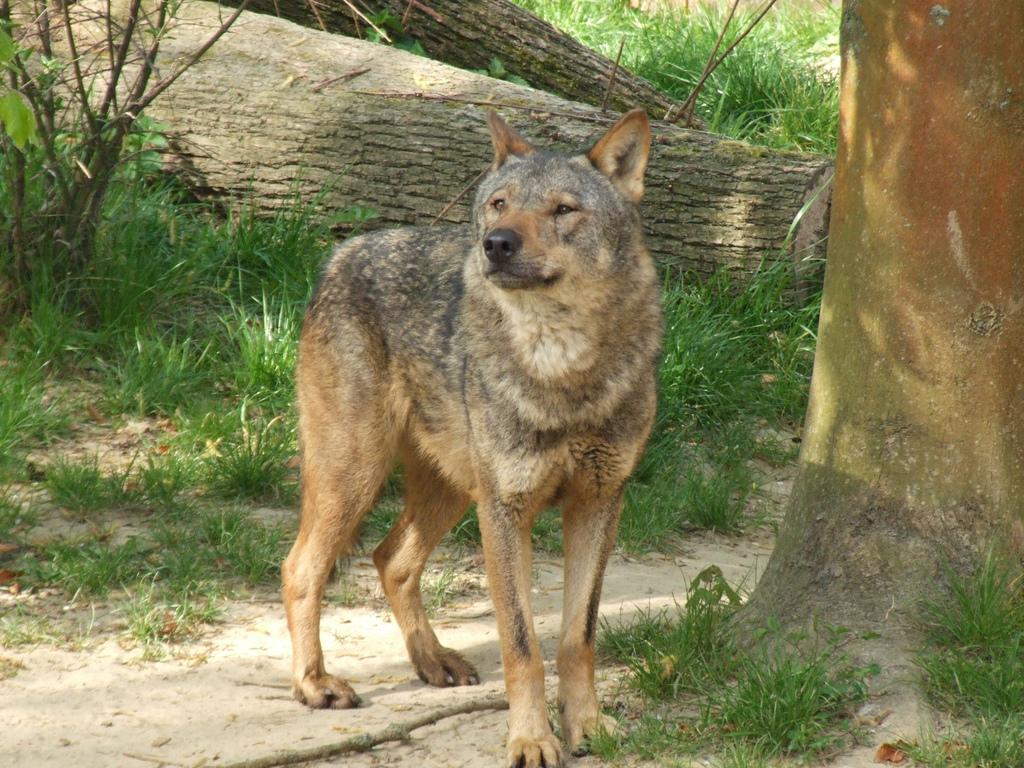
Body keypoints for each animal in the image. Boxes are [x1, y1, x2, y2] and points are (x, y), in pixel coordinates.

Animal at [282, 108, 662, 767]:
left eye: (564, 210)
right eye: (499, 204)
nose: (497, 244)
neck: (562, 370)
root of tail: (344, 250)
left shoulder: (599, 503)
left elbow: (576, 638)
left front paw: (588, 725)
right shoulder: (506, 511)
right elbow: (522, 645)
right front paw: (531, 739)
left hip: (452, 489)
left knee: (391, 560)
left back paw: (432, 661)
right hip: (357, 476)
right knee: (300, 568)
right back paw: (315, 683)